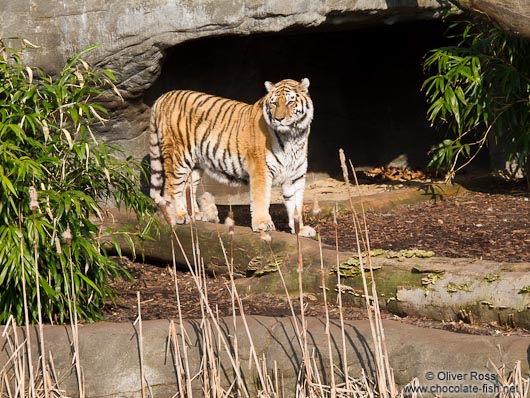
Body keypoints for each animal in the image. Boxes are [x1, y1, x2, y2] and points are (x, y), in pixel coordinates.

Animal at [147, 79, 314, 238]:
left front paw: (300, 229)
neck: (293, 136)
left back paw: (195, 214)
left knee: (188, 186)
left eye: (290, 102)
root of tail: (163, 96)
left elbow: (296, 205)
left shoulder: (295, 177)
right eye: (274, 103)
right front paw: (263, 224)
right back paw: (180, 216)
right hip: (178, 156)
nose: (278, 119)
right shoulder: (261, 170)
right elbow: (261, 199)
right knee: (171, 188)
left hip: (195, 163)